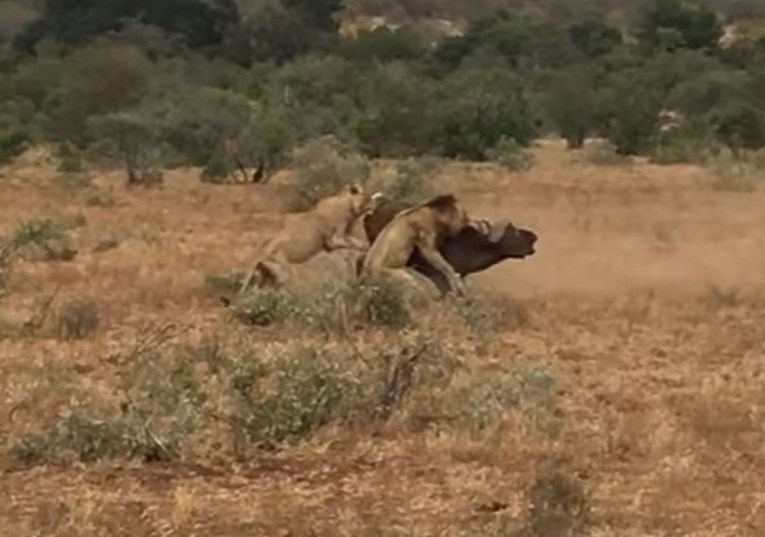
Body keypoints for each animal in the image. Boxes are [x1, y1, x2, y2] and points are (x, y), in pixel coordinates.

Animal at [240, 182, 380, 292]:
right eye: (366, 197)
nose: (375, 204)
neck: (349, 205)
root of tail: (259, 254)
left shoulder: (339, 239)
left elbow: (358, 244)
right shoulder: (334, 240)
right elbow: (358, 244)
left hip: (266, 277)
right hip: (284, 270)